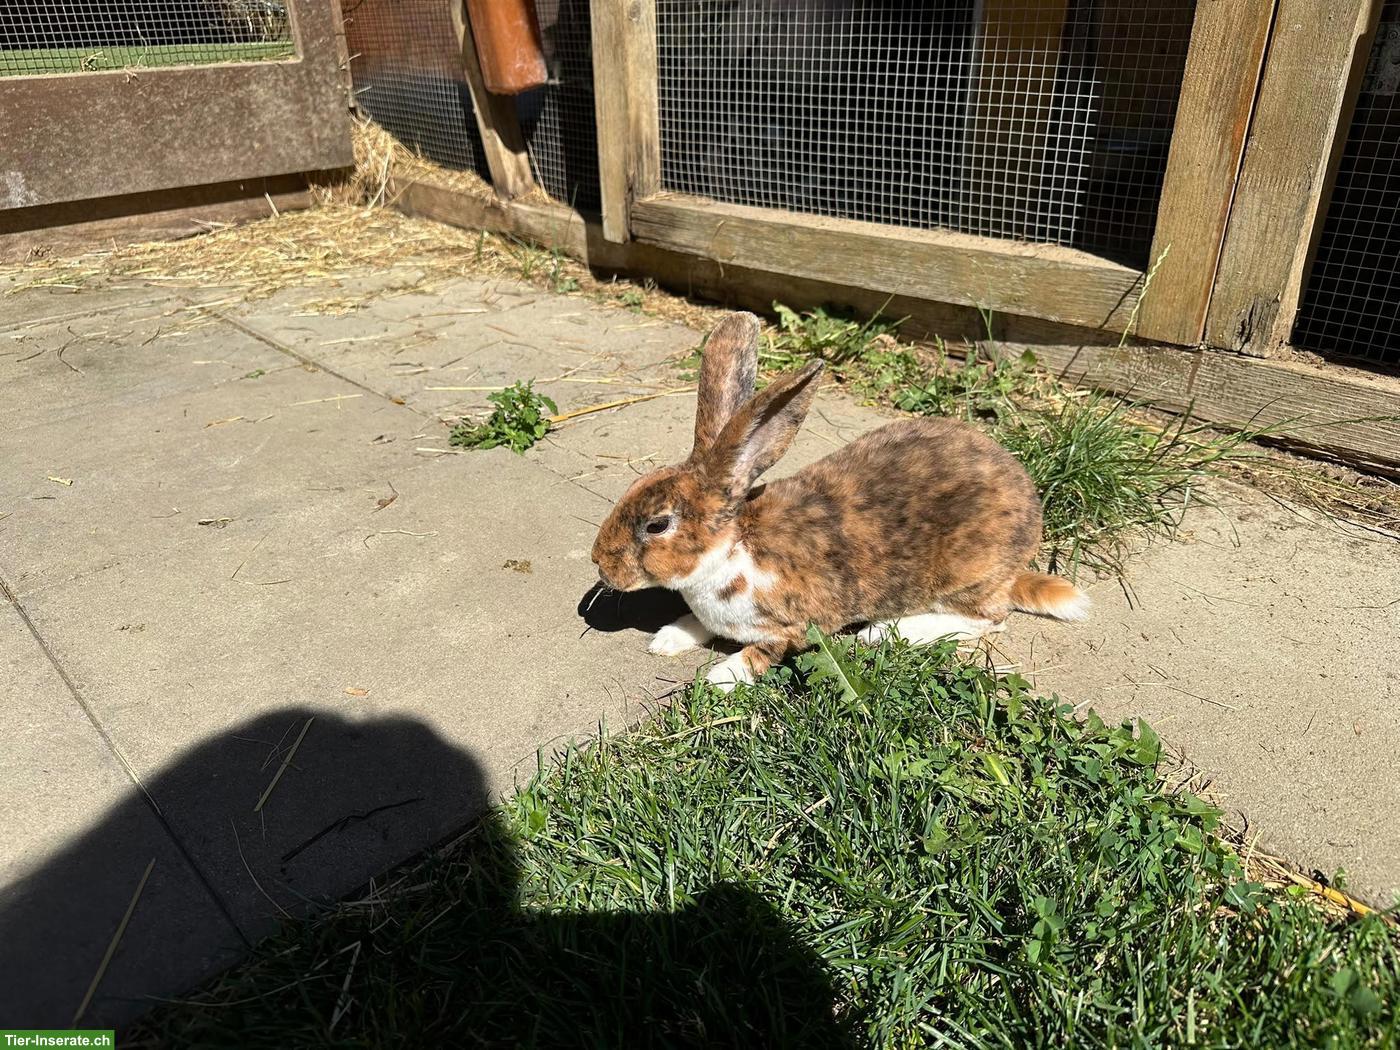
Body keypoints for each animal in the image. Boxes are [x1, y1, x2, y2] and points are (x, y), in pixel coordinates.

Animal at [590, 311, 1088, 691]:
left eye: (657, 524)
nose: (600, 562)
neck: (730, 550)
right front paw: (665, 639)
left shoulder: (790, 627)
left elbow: (763, 652)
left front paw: (721, 677)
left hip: (966, 577)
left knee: (988, 618)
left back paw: (881, 632)